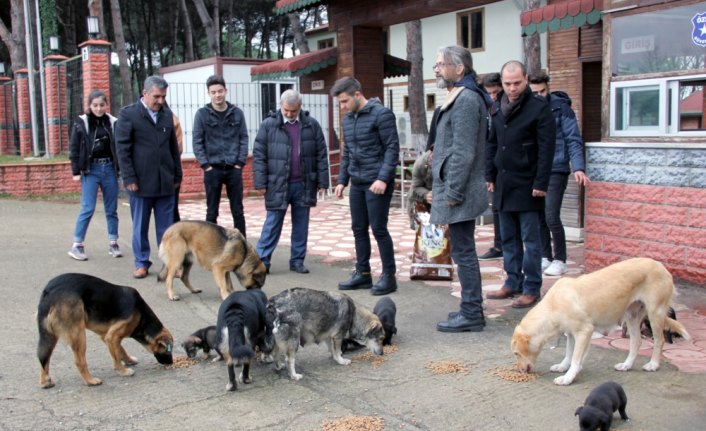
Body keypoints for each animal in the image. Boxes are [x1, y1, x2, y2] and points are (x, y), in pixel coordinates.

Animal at [36, 276, 173, 390]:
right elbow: (117, 357)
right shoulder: (112, 337)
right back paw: (90, 381)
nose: (171, 363)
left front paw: (129, 360)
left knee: (44, 357)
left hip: (50, 336)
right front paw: (122, 371)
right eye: (168, 350)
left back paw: (45, 382)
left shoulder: (108, 337)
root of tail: (48, 292)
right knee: (79, 361)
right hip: (79, 334)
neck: (142, 316)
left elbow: (121, 350)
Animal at [508, 258, 692, 386]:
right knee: (636, 342)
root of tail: (661, 266)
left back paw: (653, 364)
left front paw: (568, 377)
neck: (553, 305)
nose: (519, 370)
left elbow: (575, 358)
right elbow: (569, 353)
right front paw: (563, 367)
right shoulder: (571, 334)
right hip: (632, 316)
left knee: (660, 340)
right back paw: (627, 365)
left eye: (516, 353)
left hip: (655, 313)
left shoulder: (585, 331)